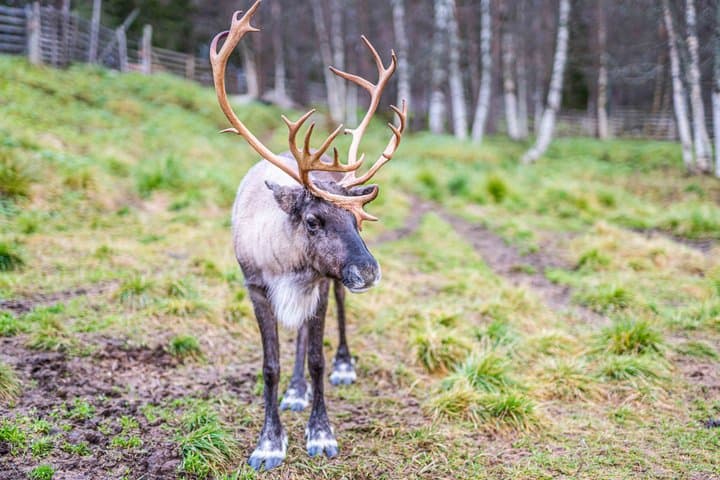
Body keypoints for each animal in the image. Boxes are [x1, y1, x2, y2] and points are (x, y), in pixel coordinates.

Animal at [210, 0, 406, 471]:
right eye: (314, 220)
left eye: (358, 220)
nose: (369, 272)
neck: (289, 265)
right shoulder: (256, 287)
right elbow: (270, 365)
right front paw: (269, 443)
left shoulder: (318, 284)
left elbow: (316, 359)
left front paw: (321, 435)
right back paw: (294, 393)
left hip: (331, 284)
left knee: (334, 320)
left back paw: (343, 366)